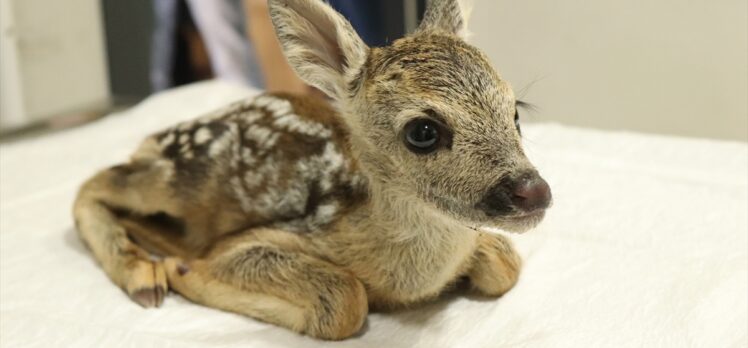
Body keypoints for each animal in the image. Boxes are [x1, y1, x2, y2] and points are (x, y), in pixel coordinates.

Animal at [74, 0, 548, 338]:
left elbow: (506, 263)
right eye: (423, 131)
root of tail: (155, 137)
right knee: (95, 182)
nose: (534, 190)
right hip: (180, 181)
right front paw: (181, 270)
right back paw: (144, 274)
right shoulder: (253, 239)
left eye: (515, 113)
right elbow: (346, 300)